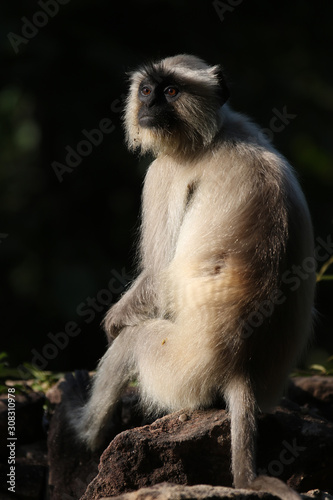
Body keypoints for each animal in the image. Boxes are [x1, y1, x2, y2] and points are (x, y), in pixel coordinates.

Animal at [61, 53, 314, 496]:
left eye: (172, 91)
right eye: (147, 90)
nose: (149, 106)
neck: (213, 134)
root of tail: (242, 369)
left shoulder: (162, 174)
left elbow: (157, 272)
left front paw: (110, 324)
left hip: (182, 368)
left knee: (133, 342)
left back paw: (81, 427)